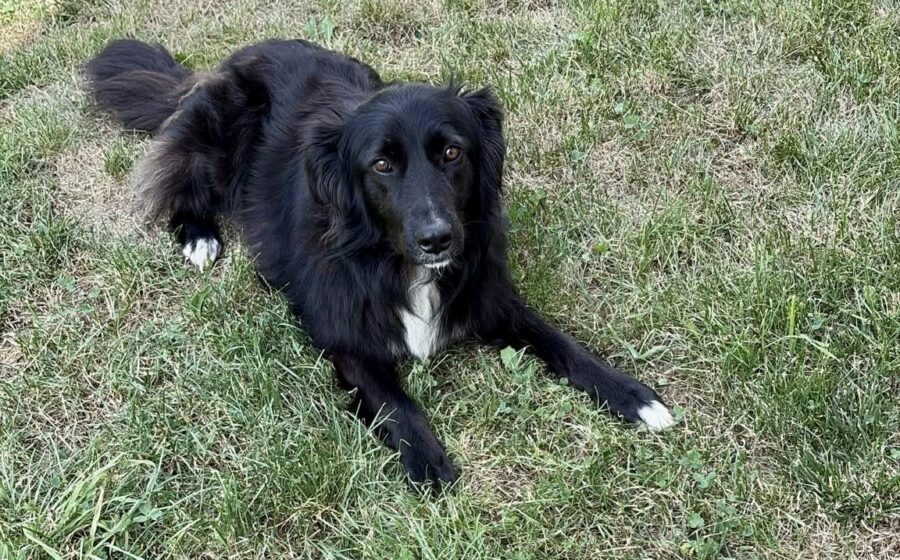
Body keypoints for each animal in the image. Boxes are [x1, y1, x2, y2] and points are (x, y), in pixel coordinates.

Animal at [86, 38, 675, 491]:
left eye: (453, 153)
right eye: (383, 165)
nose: (438, 239)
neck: (393, 261)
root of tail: (231, 58)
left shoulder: (490, 296)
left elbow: (561, 342)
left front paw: (633, 396)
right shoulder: (342, 335)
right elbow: (395, 400)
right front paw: (429, 463)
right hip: (215, 138)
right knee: (179, 179)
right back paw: (200, 236)